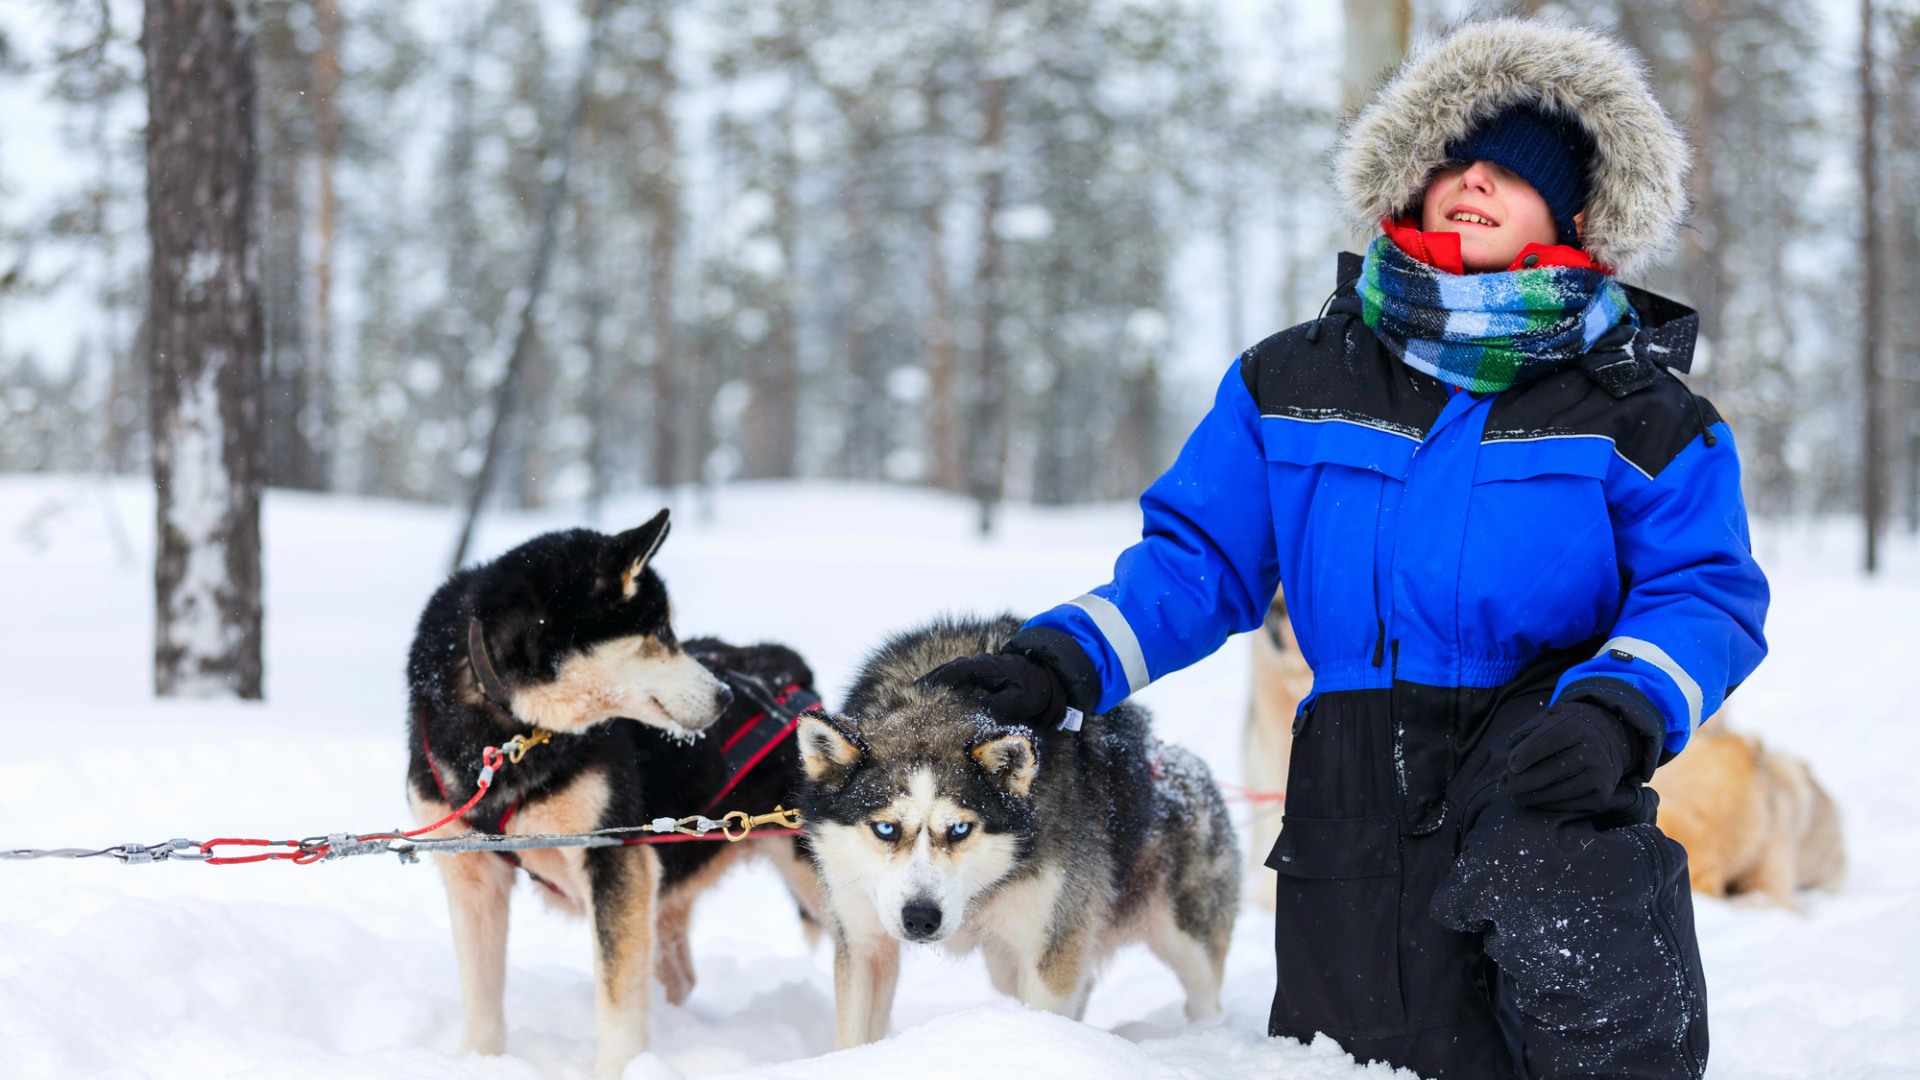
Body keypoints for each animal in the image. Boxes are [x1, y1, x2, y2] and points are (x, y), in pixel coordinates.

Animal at [405, 507, 825, 1068]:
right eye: (661, 631)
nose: (726, 695)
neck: (512, 732)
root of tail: (790, 674)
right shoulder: (472, 876)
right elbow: (481, 995)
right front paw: (479, 1061)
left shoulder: (612, 858)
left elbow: (616, 1002)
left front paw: (624, 1068)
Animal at [791, 618, 1228, 1045]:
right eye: (885, 827)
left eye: (960, 828)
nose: (920, 918)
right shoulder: (863, 941)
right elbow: (855, 1035)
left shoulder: (1050, 946)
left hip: (1182, 938)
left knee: (1204, 997)